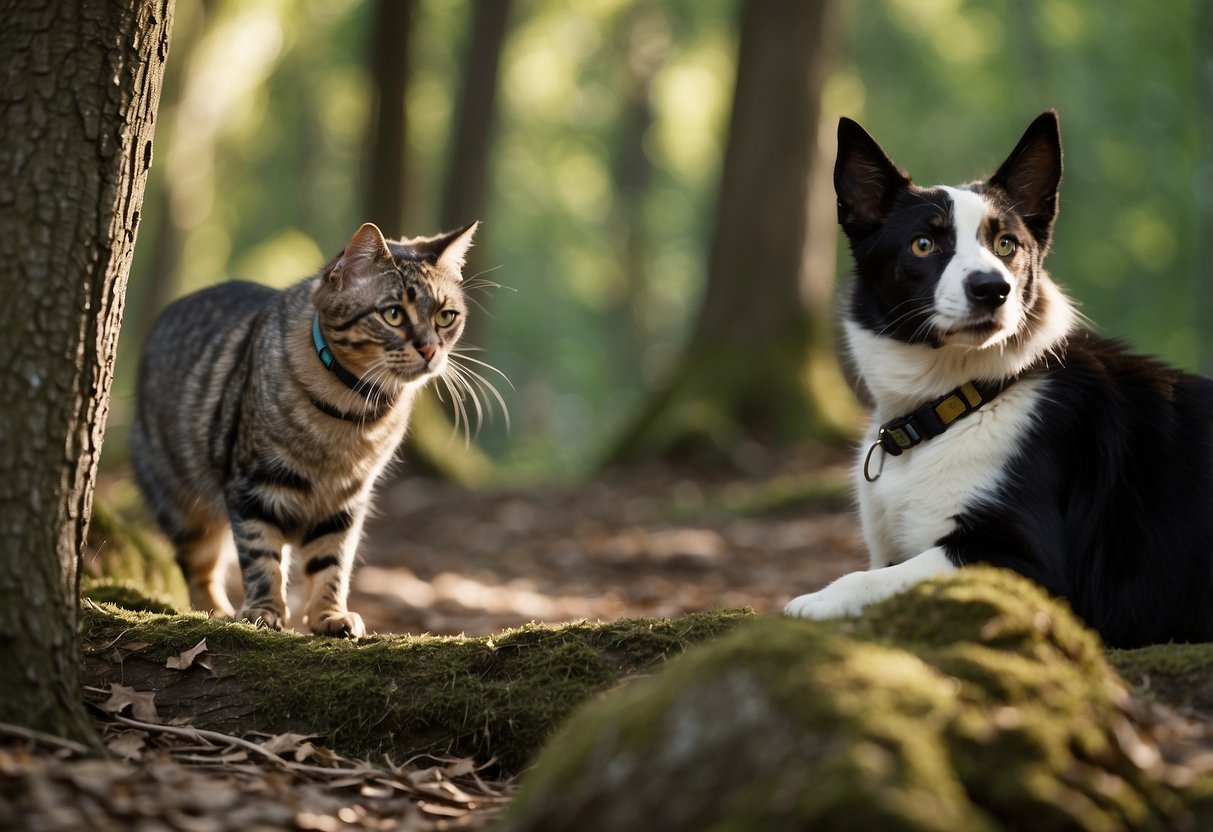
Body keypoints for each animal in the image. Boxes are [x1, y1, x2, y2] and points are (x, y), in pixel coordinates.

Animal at [130, 219, 475, 640]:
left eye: (446, 317)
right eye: (393, 314)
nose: (429, 349)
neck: (350, 414)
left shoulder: (346, 502)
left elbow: (332, 563)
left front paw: (329, 615)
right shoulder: (252, 486)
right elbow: (261, 557)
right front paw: (263, 612)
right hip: (183, 505)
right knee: (199, 567)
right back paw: (219, 613)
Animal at [786, 110, 1213, 650]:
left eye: (1005, 244)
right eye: (923, 244)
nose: (993, 289)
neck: (956, 404)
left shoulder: (1028, 562)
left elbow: (880, 575)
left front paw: (819, 599)